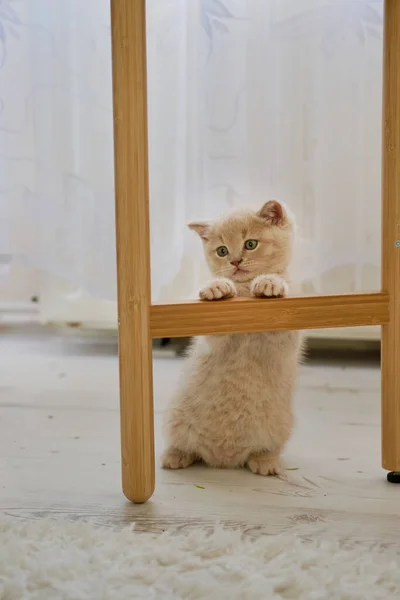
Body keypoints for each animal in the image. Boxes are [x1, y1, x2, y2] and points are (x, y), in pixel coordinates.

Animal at [161, 202, 302, 478]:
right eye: (222, 250)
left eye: (251, 244)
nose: (235, 261)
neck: (245, 289)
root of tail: (223, 459)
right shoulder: (214, 338)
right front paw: (218, 287)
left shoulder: (288, 330)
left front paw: (270, 282)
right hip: (175, 414)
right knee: (183, 444)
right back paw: (175, 456)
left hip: (282, 425)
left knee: (267, 448)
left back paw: (265, 461)